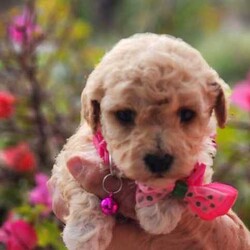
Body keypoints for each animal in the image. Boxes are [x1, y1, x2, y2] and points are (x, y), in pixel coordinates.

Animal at [49, 33, 243, 250]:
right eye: (124, 115)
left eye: (187, 114)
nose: (159, 161)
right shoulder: (74, 157)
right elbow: (79, 190)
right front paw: (84, 233)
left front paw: (158, 212)